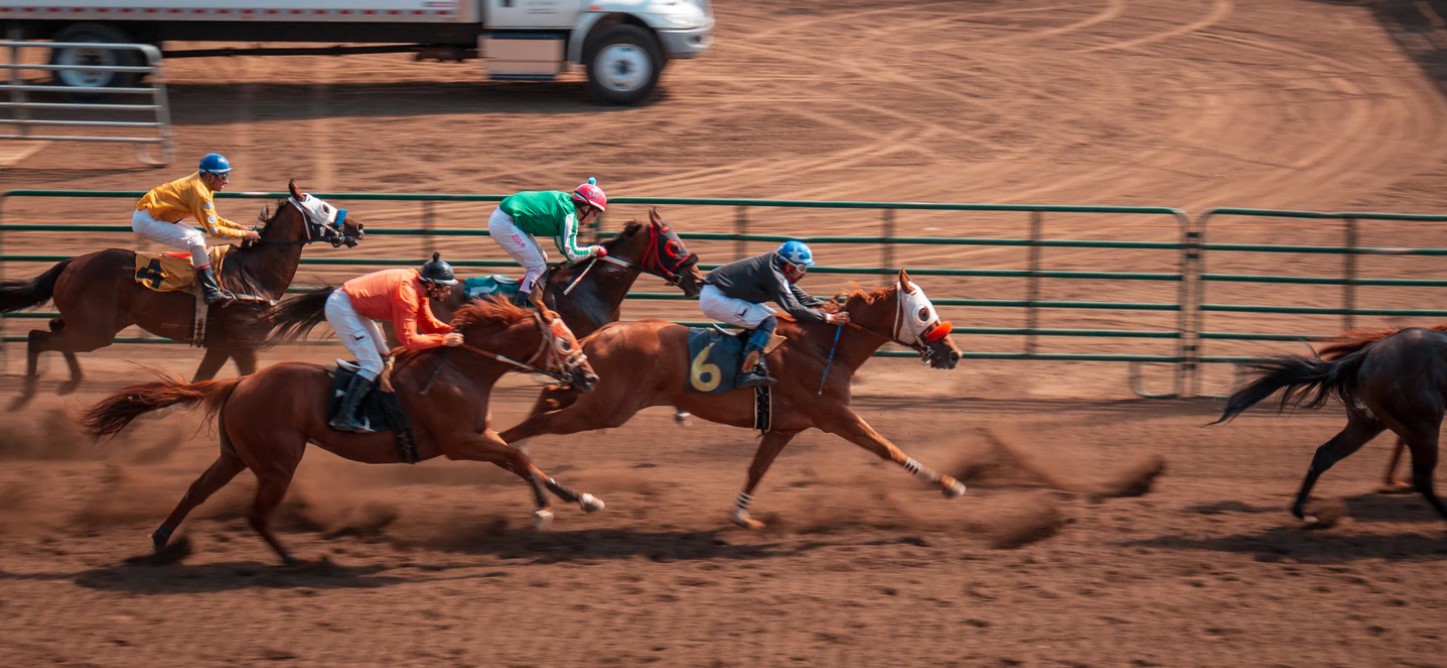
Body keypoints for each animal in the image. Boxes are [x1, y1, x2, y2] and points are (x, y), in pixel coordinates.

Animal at [0, 178, 364, 407]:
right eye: (325, 208)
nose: (357, 227)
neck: (252, 275)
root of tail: (71, 263)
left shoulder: (221, 345)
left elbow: (199, 381)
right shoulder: (241, 343)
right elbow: (245, 378)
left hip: (87, 326)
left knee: (51, 330)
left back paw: (69, 382)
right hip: (94, 331)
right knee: (37, 337)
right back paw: (27, 395)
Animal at [80, 300, 599, 566]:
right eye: (566, 342)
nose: (591, 377)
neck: (461, 370)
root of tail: (239, 383)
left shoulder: (480, 435)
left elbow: (522, 461)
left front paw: (579, 499)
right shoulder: (460, 443)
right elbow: (521, 460)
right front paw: (549, 511)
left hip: (237, 455)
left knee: (198, 489)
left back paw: (163, 538)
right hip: (277, 463)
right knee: (255, 514)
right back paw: (294, 560)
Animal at [497, 268, 960, 529]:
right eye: (923, 312)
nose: (952, 353)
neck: (824, 345)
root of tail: (600, 333)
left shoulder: (784, 428)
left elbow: (757, 470)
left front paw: (741, 515)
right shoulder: (835, 415)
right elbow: (886, 447)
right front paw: (948, 484)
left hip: (596, 395)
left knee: (549, 395)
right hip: (605, 409)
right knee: (539, 420)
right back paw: (510, 450)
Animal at [1215, 326, 1447, 523]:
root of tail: (1366, 354)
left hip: (1369, 424)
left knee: (1325, 454)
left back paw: (1302, 512)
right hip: (1423, 427)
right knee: (1422, 478)